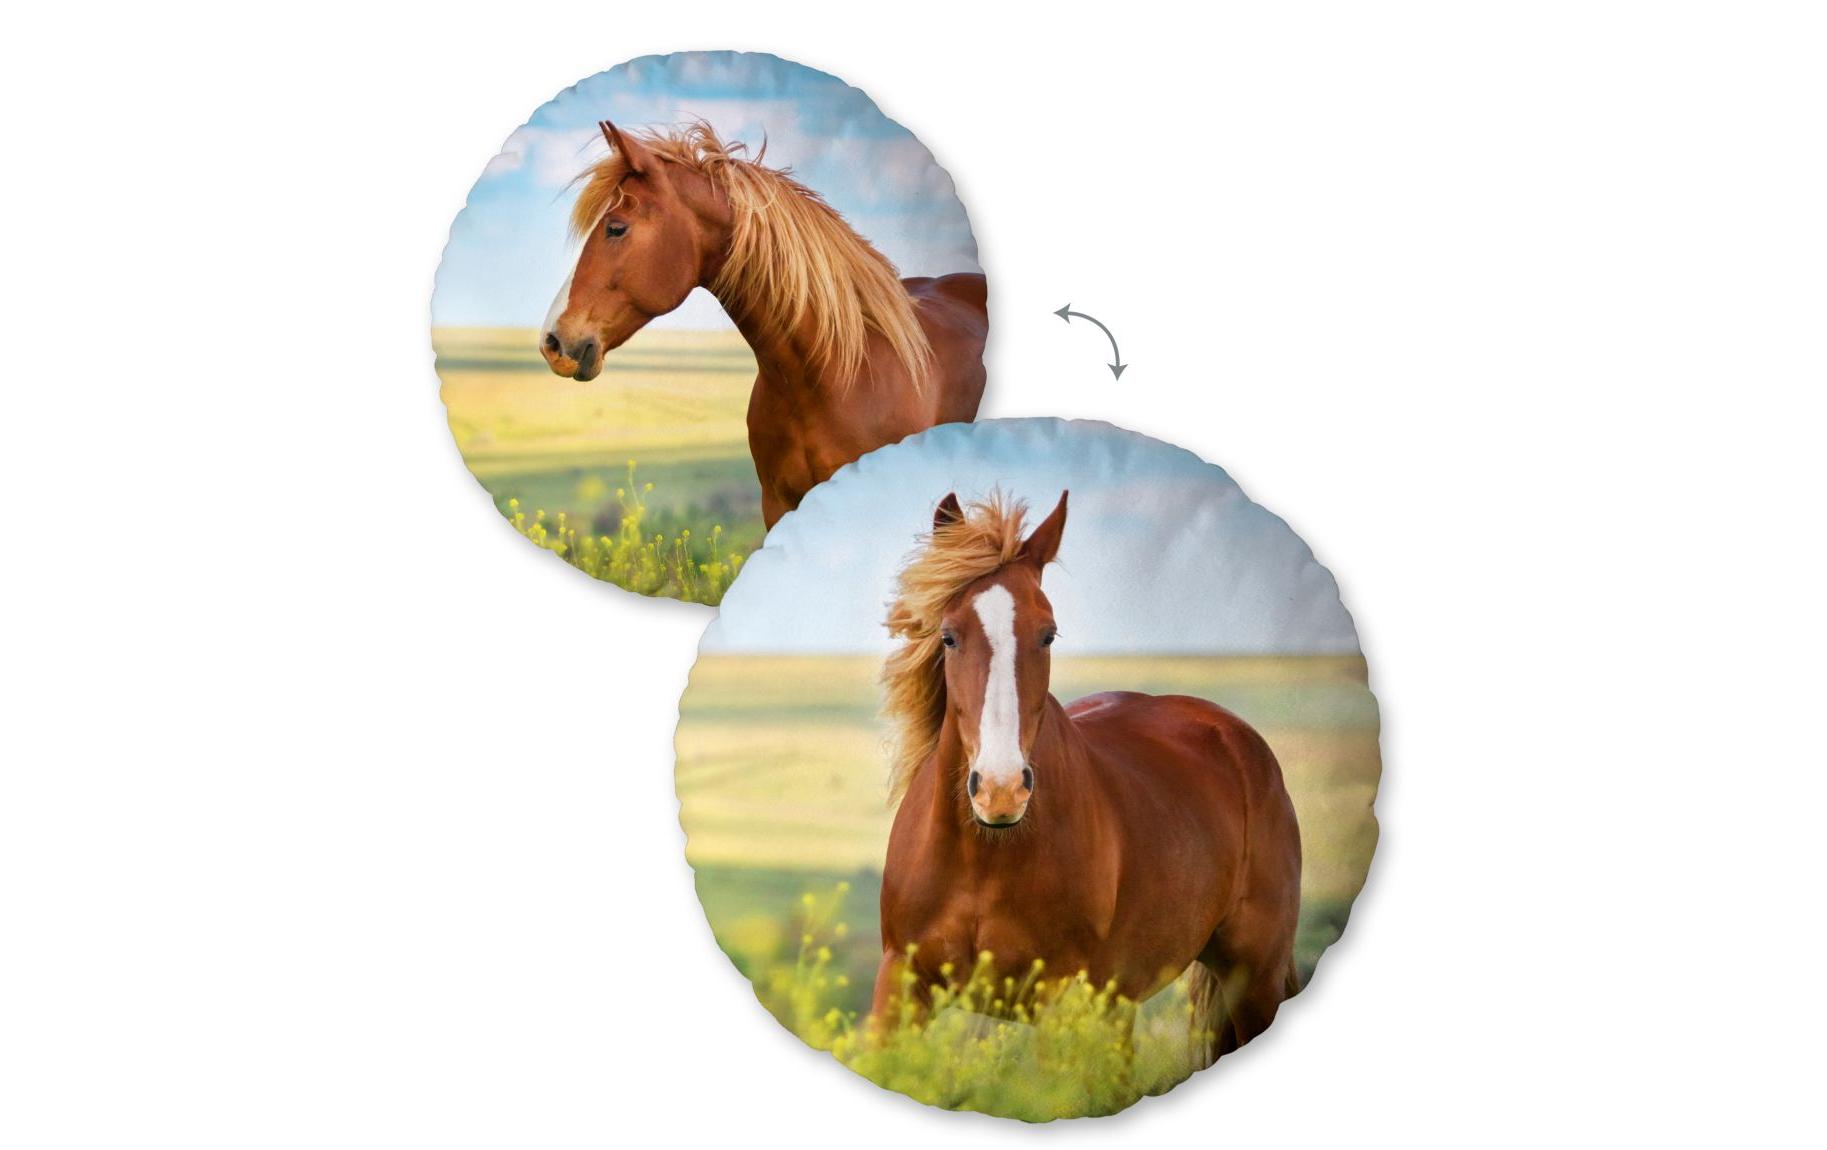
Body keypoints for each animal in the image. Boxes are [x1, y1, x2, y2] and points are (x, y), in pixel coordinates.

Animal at [872, 491, 1304, 1064]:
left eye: (1048, 634)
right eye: (948, 636)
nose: (1001, 790)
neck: (983, 857)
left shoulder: (1060, 1000)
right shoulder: (900, 984)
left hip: (1253, 979)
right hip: (1121, 1004)